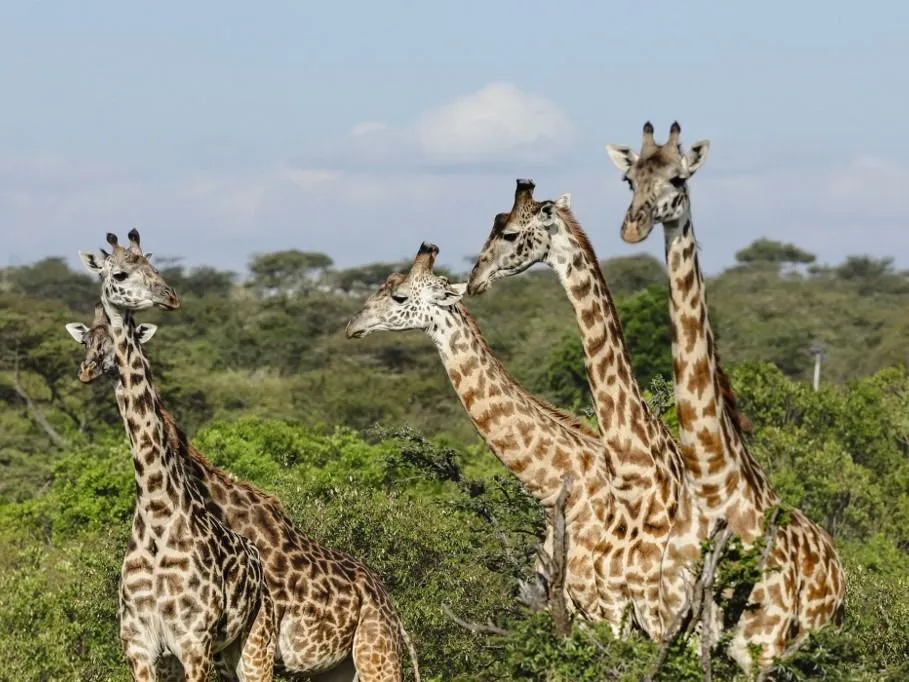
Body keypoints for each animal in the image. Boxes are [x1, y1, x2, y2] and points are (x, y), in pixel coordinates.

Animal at [66, 302, 421, 682]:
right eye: (86, 339)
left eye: (115, 338)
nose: (86, 371)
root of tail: (391, 606)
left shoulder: (252, 644)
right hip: (336, 668)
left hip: (376, 652)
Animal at [76, 230, 275, 681]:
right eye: (120, 273)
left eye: (155, 267)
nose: (171, 297)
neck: (155, 509)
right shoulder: (140, 647)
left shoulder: (192, 642)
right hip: (222, 654)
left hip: (254, 642)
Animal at [605, 122, 845, 668]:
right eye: (629, 179)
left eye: (678, 178)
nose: (633, 227)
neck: (712, 483)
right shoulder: (682, 627)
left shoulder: (761, 645)